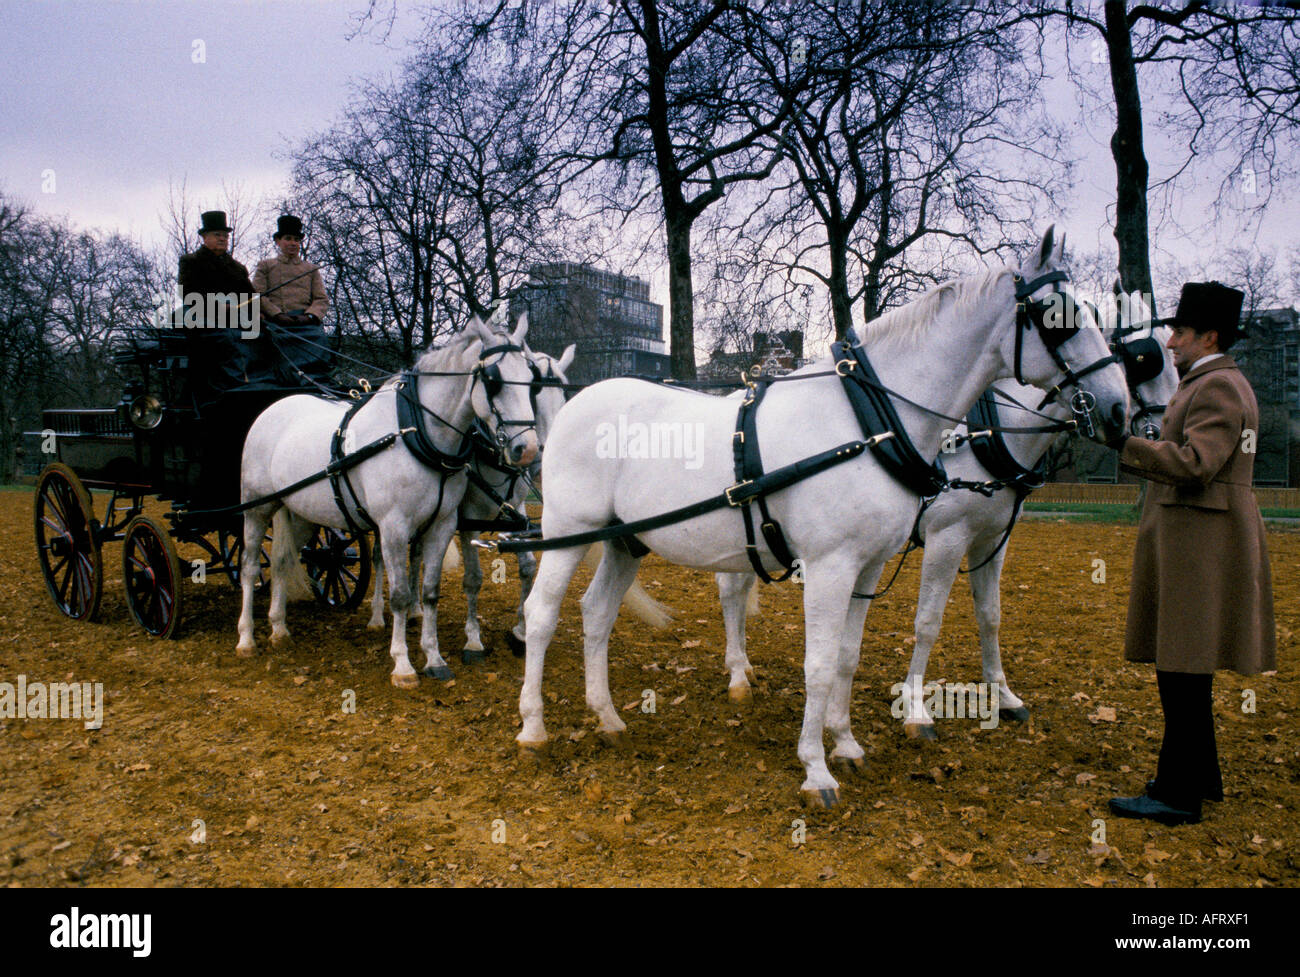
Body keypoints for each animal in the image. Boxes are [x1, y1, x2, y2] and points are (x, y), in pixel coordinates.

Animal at [235, 314, 538, 685]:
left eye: (531, 379)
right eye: (493, 380)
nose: (528, 450)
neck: (416, 432)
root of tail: (273, 408)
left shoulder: (441, 525)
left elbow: (430, 591)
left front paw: (434, 658)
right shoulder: (393, 526)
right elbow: (400, 595)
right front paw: (403, 665)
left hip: (300, 513)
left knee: (280, 562)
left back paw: (279, 629)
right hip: (257, 508)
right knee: (250, 566)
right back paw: (247, 638)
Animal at [514, 224, 1128, 805]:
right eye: (1059, 317)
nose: (1118, 408)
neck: (868, 421)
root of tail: (574, 403)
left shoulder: (871, 565)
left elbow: (849, 657)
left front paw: (847, 743)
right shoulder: (836, 564)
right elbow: (821, 661)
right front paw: (816, 769)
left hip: (626, 541)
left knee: (597, 613)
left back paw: (608, 717)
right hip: (568, 531)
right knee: (542, 614)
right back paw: (534, 729)